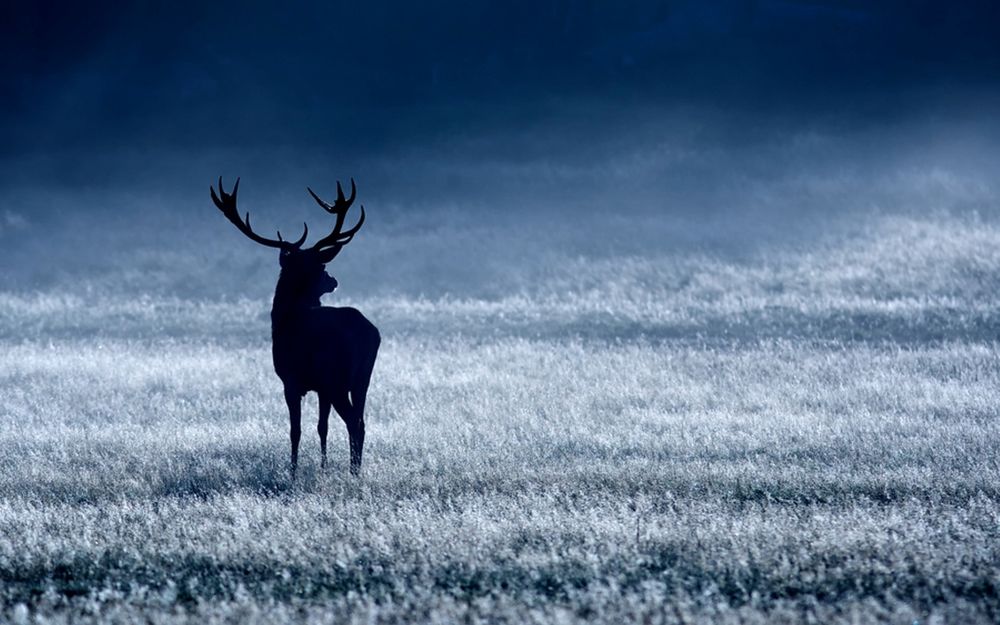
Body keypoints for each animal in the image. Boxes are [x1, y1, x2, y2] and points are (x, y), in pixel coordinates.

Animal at [210, 177, 378, 478]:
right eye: (320, 266)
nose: (333, 280)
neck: (284, 318)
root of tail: (370, 333)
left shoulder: (291, 379)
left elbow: (295, 430)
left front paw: (293, 471)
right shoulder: (320, 387)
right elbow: (322, 427)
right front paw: (322, 466)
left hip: (337, 377)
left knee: (353, 422)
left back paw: (353, 472)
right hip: (362, 379)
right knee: (361, 420)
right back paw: (356, 469)